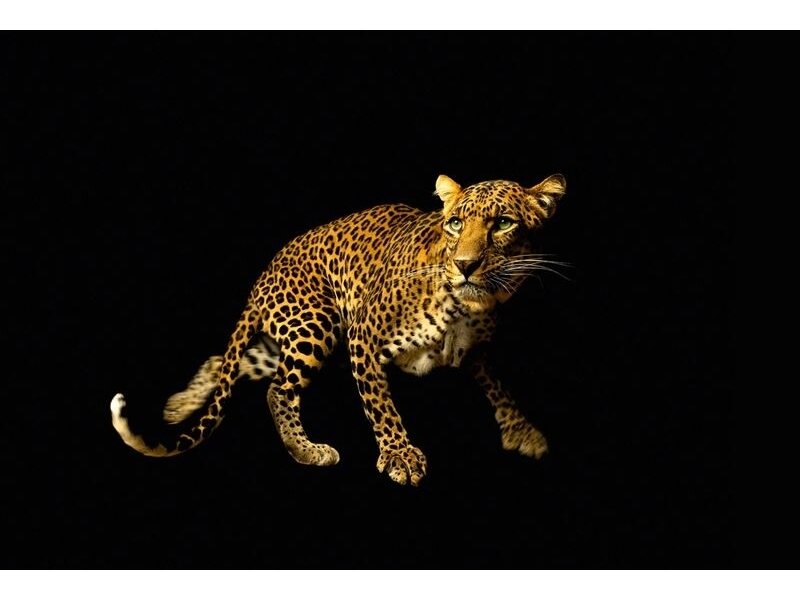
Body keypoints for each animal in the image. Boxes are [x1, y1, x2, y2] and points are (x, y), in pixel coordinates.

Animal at [111, 173, 567, 486]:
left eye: (503, 223)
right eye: (455, 223)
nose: (465, 265)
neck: (464, 306)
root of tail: (263, 276)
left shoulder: (475, 351)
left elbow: (497, 385)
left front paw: (522, 430)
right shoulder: (363, 334)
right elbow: (380, 404)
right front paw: (400, 456)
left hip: (286, 338)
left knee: (224, 362)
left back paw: (179, 406)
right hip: (317, 324)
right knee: (277, 390)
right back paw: (307, 451)